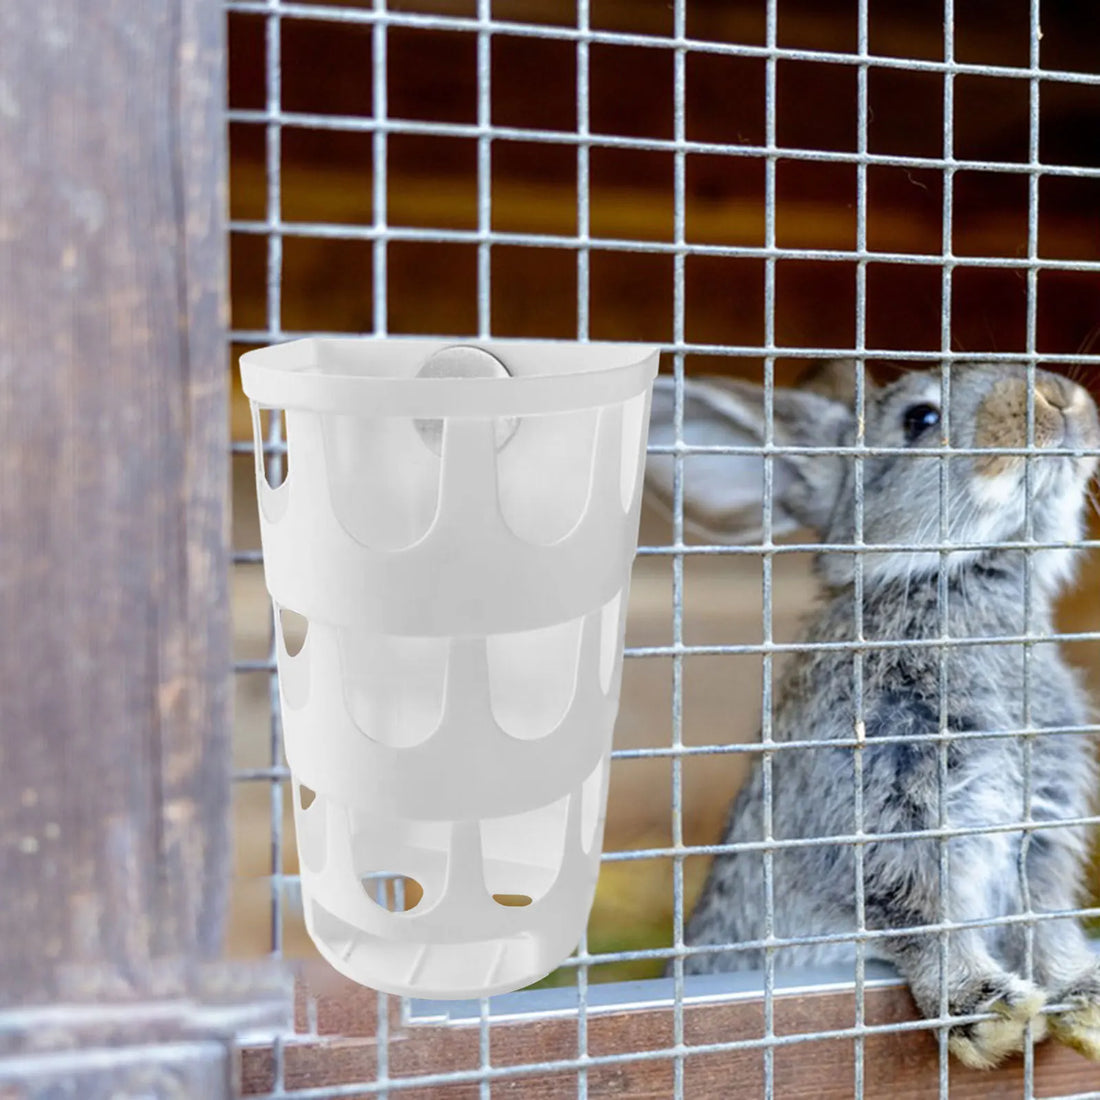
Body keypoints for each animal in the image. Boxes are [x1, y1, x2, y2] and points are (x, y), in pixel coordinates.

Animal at [645, 362, 1100, 1069]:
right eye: (920, 420)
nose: (1060, 398)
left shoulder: (1043, 824)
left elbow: (1045, 919)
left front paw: (1084, 997)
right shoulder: (878, 808)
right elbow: (918, 912)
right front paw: (987, 1012)